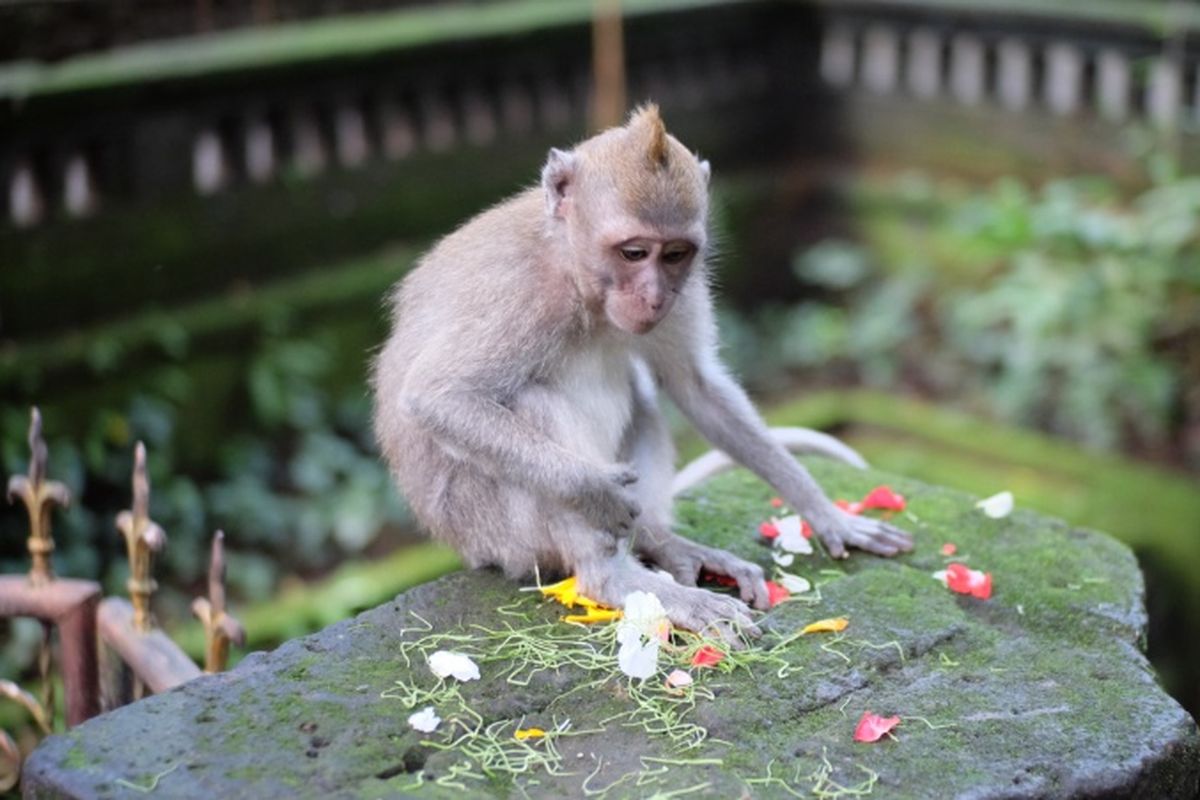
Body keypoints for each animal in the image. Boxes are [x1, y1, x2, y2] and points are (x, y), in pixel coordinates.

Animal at [369, 107, 912, 642]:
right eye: (633, 252)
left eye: (674, 254)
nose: (654, 298)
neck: (575, 273)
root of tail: (468, 549)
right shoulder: (516, 293)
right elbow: (439, 398)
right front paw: (596, 491)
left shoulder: (683, 292)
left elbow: (696, 386)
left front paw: (826, 513)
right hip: (496, 534)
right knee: (531, 405)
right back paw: (614, 576)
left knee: (644, 398)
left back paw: (663, 542)